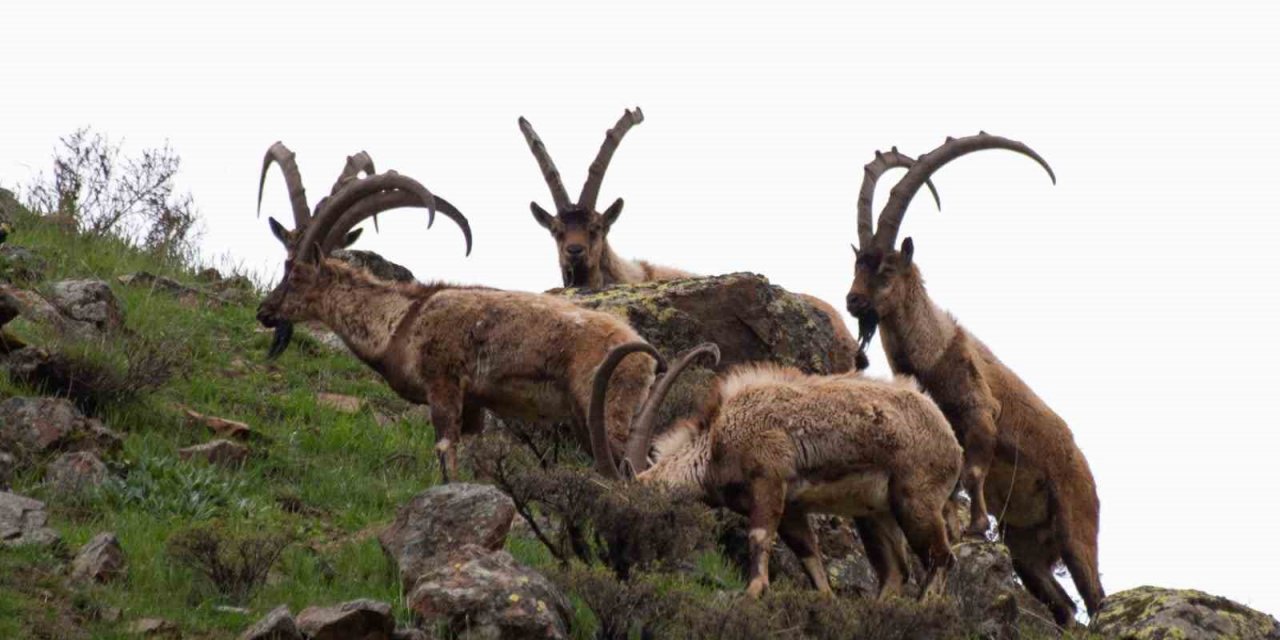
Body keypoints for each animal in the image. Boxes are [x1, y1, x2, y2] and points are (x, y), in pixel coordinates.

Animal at [588, 345, 962, 599]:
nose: (621, 557)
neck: (716, 445)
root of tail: (951, 440)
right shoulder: (793, 509)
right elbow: (809, 556)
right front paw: (826, 600)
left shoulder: (768, 481)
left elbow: (757, 538)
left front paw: (752, 592)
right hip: (874, 514)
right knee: (896, 571)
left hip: (915, 500)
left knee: (941, 559)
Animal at [844, 132, 1105, 627]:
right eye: (857, 266)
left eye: (886, 268)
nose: (853, 301)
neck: (931, 353)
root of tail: (1088, 472)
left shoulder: (981, 413)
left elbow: (974, 469)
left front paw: (975, 525)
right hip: (1028, 547)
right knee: (1062, 604)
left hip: (1076, 526)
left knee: (1095, 593)